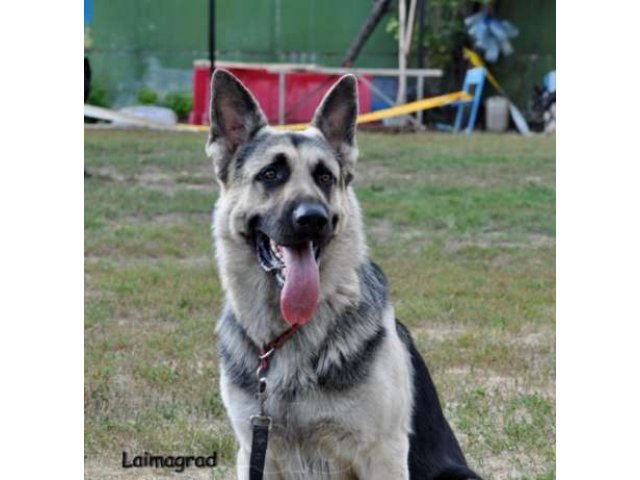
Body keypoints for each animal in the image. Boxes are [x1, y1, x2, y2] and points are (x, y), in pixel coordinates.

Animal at [205, 68, 480, 480]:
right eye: (270, 174)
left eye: (325, 177)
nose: (313, 219)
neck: (290, 335)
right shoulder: (254, 452)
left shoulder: (383, 455)